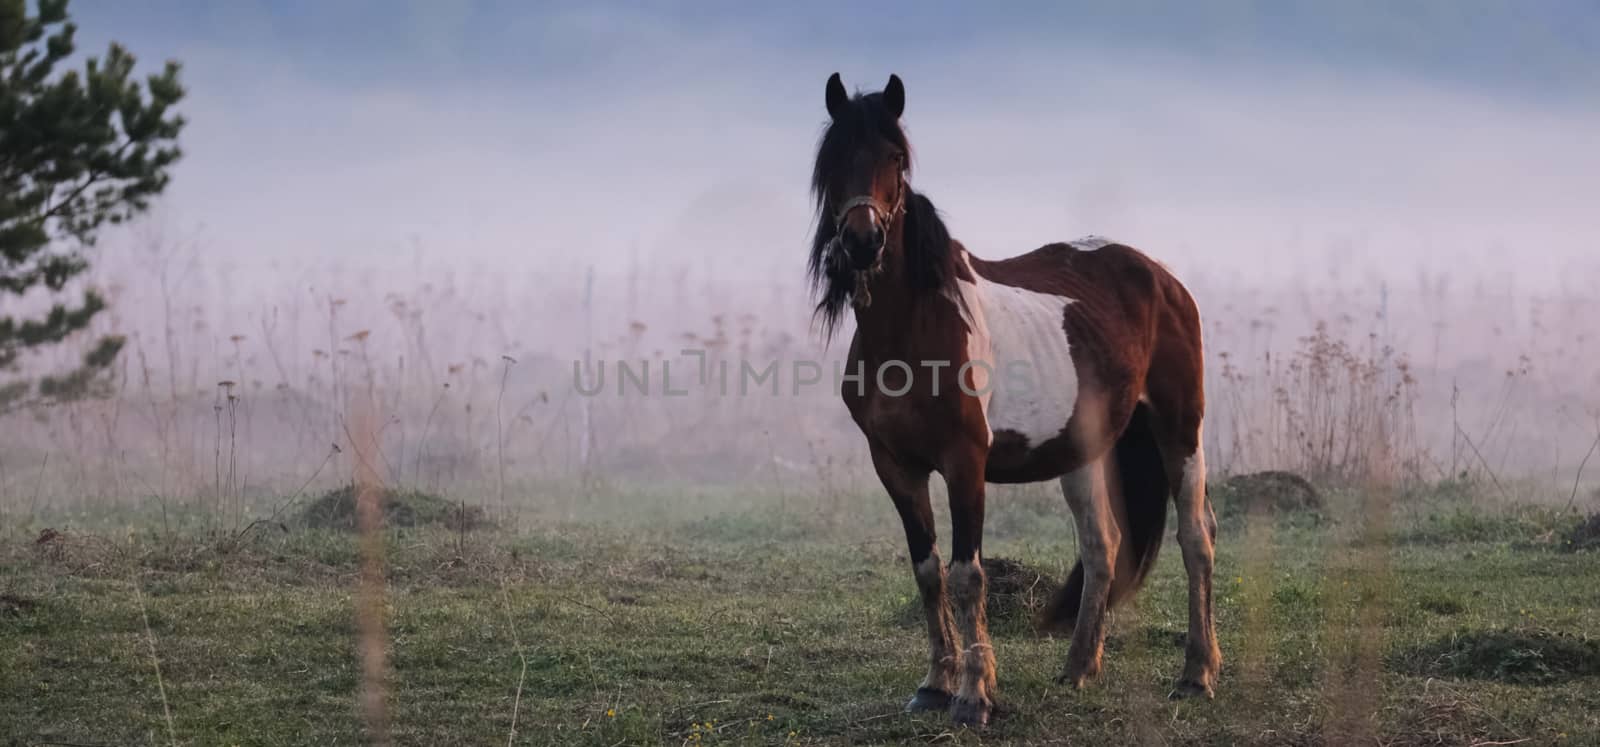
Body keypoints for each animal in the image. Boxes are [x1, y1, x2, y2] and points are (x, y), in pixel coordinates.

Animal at [812, 73, 1222, 729]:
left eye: (895, 159)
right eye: (831, 160)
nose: (862, 241)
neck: (913, 328)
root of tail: (1162, 277)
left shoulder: (964, 464)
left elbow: (966, 575)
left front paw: (974, 697)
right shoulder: (895, 466)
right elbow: (927, 572)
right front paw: (934, 685)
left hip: (1180, 427)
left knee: (1196, 537)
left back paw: (1197, 674)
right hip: (1083, 451)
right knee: (1103, 545)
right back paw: (1079, 668)